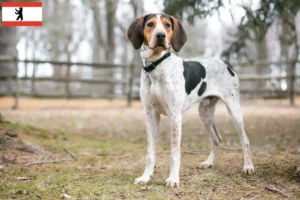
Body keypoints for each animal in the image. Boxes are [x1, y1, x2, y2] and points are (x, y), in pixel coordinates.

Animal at [125, 13, 254, 188]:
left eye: (167, 25)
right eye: (150, 24)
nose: (161, 36)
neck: (157, 65)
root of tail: (226, 65)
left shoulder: (175, 116)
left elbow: (174, 152)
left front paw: (173, 179)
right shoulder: (151, 115)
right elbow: (150, 152)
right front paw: (145, 177)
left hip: (234, 110)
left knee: (244, 139)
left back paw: (248, 166)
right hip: (204, 113)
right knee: (216, 139)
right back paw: (208, 162)